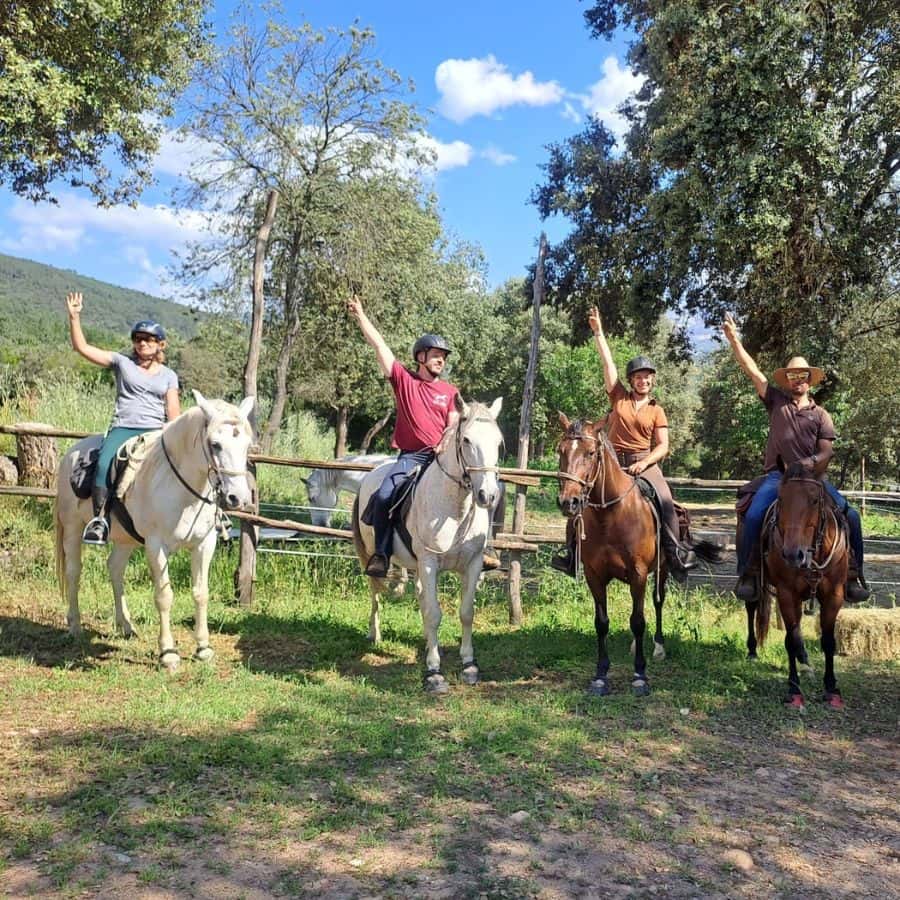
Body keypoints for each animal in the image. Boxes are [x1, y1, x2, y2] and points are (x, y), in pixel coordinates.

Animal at [55, 391, 255, 670]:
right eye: (215, 444)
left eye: (246, 445)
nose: (238, 498)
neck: (183, 490)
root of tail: (72, 453)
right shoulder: (156, 545)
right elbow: (164, 596)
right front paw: (168, 653)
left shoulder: (204, 544)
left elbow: (201, 593)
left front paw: (203, 648)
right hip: (73, 529)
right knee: (74, 573)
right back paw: (74, 625)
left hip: (125, 539)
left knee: (115, 569)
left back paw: (126, 626)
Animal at [351, 396, 503, 694]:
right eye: (466, 440)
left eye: (498, 441)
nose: (488, 495)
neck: (453, 508)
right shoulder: (430, 563)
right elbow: (434, 614)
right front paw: (434, 673)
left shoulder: (472, 564)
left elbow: (466, 612)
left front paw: (469, 665)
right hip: (372, 556)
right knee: (375, 591)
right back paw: (374, 633)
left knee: (419, 597)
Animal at [556, 414, 719, 697]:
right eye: (561, 451)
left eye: (591, 453)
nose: (569, 502)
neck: (611, 515)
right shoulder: (594, 575)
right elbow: (602, 622)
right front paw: (600, 675)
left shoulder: (639, 574)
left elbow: (639, 621)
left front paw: (640, 675)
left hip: (662, 571)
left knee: (657, 603)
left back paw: (659, 647)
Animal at [753, 465, 849, 709]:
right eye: (781, 498)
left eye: (815, 500)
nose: (792, 554)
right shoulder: (787, 594)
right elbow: (792, 640)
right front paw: (794, 690)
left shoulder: (834, 594)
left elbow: (828, 641)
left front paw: (832, 689)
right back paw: (752, 650)